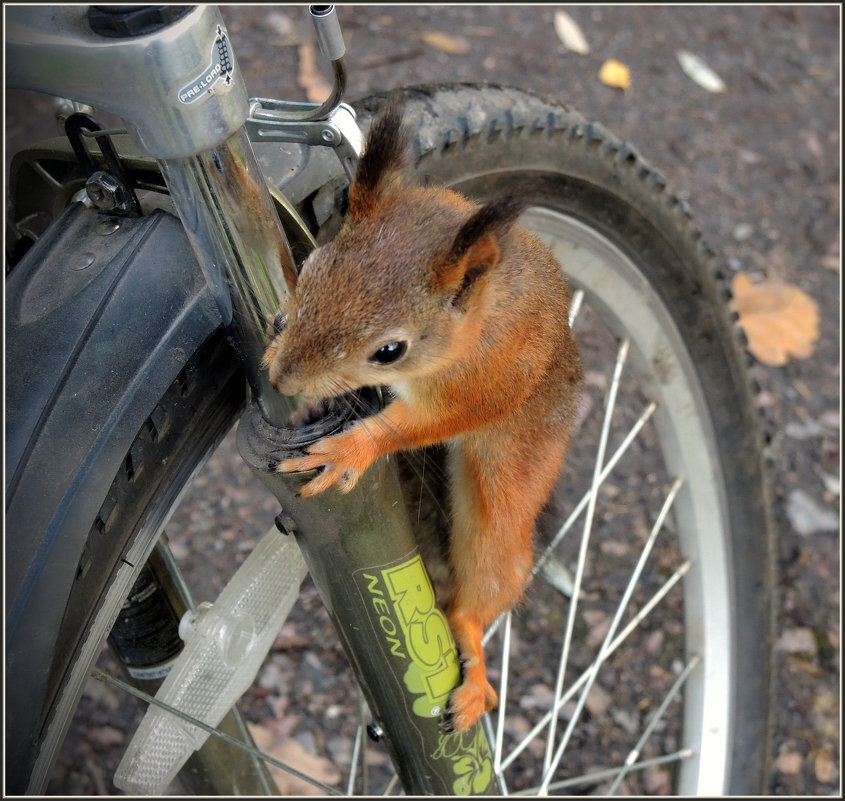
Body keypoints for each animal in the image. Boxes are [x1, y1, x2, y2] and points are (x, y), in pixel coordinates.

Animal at [262, 100, 580, 732]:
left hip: (502, 514)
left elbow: (414, 427)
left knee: (479, 597)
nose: (283, 380)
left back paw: (474, 661)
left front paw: (350, 449)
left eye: (389, 351)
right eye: (307, 271)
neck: (478, 320)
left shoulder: (482, 385)